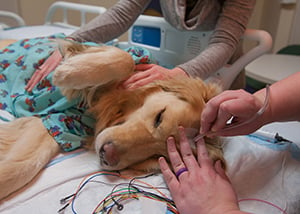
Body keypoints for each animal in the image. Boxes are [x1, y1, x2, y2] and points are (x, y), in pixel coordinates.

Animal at [0, 38, 225, 199]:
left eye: (158, 156)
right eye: (159, 118)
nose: (106, 155)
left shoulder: (59, 125)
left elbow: (21, 169)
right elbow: (124, 58)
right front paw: (67, 72)